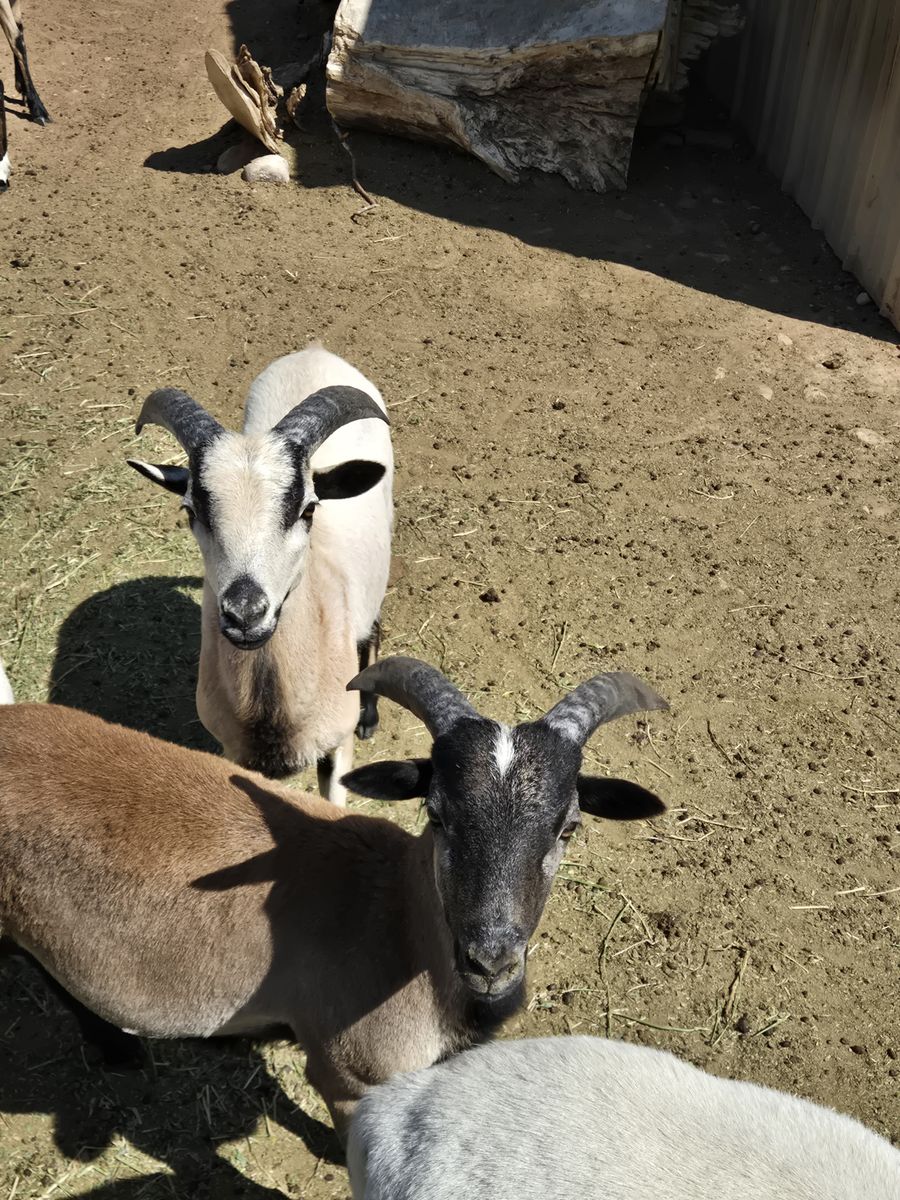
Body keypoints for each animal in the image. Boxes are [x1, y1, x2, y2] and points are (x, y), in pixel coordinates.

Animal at [0, 655, 666, 1138]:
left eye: (567, 826)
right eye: (436, 814)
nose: (491, 961)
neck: (394, 921)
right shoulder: (347, 1077)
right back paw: (116, 1048)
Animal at [128, 344, 393, 805]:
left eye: (308, 509)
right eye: (190, 511)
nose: (245, 614)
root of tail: (315, 351)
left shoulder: (336, 748)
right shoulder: (232, 752)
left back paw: (370, 716)